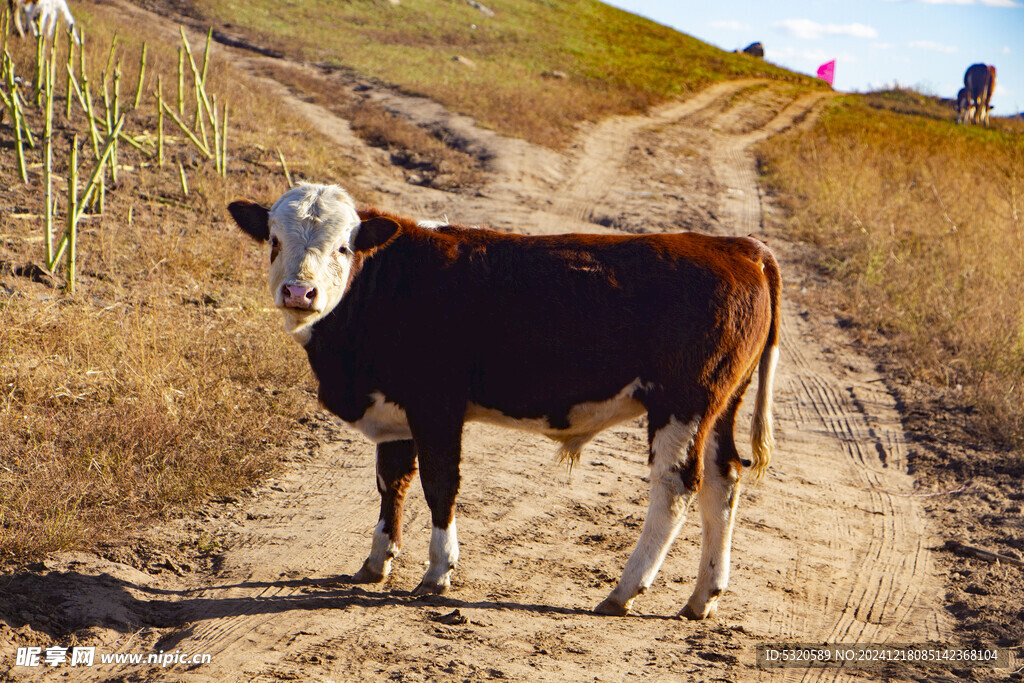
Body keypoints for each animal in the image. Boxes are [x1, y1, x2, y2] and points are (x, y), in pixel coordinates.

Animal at [228, 183, 778, 618]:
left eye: (343, 247)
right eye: (275, 241)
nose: (300, 293)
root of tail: (736, 246)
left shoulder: (437, 406)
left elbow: (439, 484)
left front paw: (437, 571)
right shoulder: (395, 408)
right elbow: (392, 481)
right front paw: (376, 561)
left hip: (683, 403)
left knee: (676, 487)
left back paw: (624, 590)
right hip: (719, 407)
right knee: (724, 481)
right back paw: (702, 596)